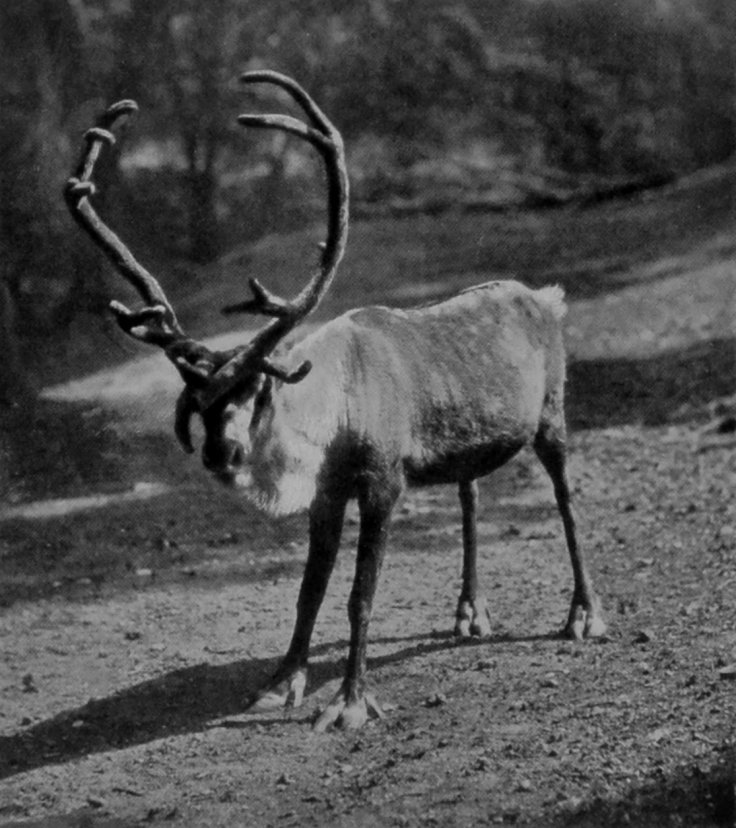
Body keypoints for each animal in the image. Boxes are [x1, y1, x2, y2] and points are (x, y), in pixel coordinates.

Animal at [65, 71, 606, 731]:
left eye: (259, 389)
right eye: (196, 396)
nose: (222, 453)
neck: (332, 416)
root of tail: (547, 297)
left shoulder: (382, 481)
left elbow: (359, 595)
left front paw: (349, 701)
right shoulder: (327, 493)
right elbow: (309, 593)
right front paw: (279, 685)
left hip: (552, 411)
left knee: (566, 498)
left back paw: (583, 614)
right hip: (470, 445)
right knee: (471, 492)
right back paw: (469, 612)